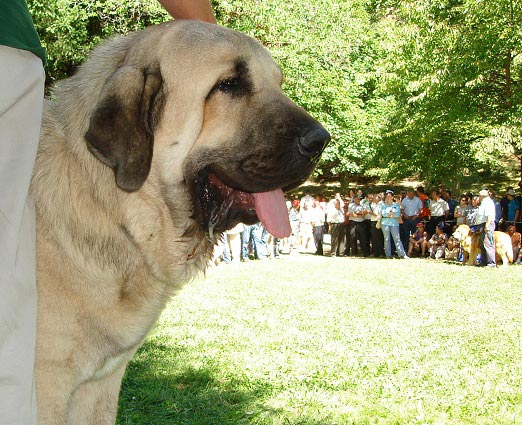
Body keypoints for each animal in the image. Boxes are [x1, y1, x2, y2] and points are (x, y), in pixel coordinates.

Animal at [30, 20, 328, 424]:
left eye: (277, 84)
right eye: (229, 84)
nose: (321, 141)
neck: (113, 209)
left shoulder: (99, 384)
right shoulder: (46, 385)